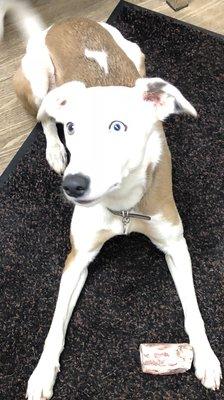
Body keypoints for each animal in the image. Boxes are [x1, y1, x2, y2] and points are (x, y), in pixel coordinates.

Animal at [0, 0, 221, 400]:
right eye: (73, 127)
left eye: (118, 127)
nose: (72, 186)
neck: (123, 205)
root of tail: (61, 24)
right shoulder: (78, 257)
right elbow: (55, 325)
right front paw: (41, 374)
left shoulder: (175, 244)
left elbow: (194, 311)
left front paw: (208, 360)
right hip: (37, 79)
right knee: (44, 118)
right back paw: (55, 151)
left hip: (137, 54)